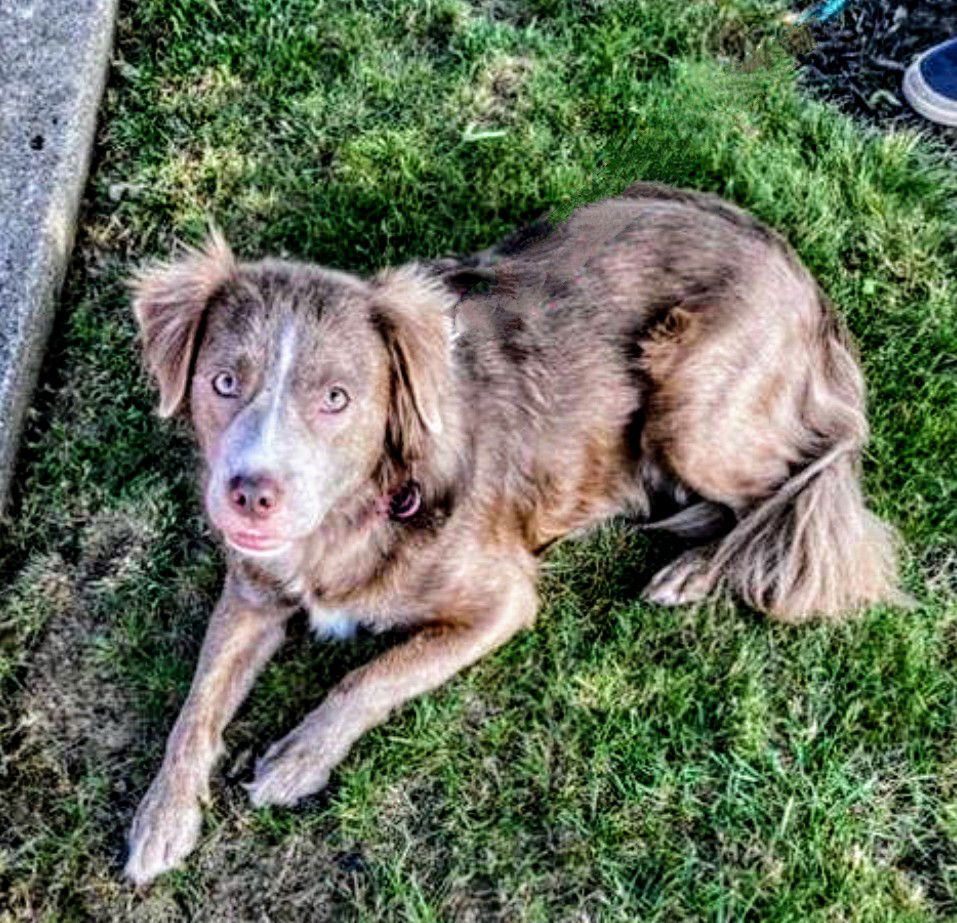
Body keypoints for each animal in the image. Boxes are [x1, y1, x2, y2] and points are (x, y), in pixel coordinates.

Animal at [123, 184, 900, 884]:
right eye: (224, 382)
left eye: (336, 398)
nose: (251, 495)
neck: (358, 507)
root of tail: (806, 285)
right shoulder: (252, 592)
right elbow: (195, 707)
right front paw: (161, 817)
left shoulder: (501, 602)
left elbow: (373, 674)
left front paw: (299, 757)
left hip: (695, 411)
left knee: (800, 479)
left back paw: (696, 568)